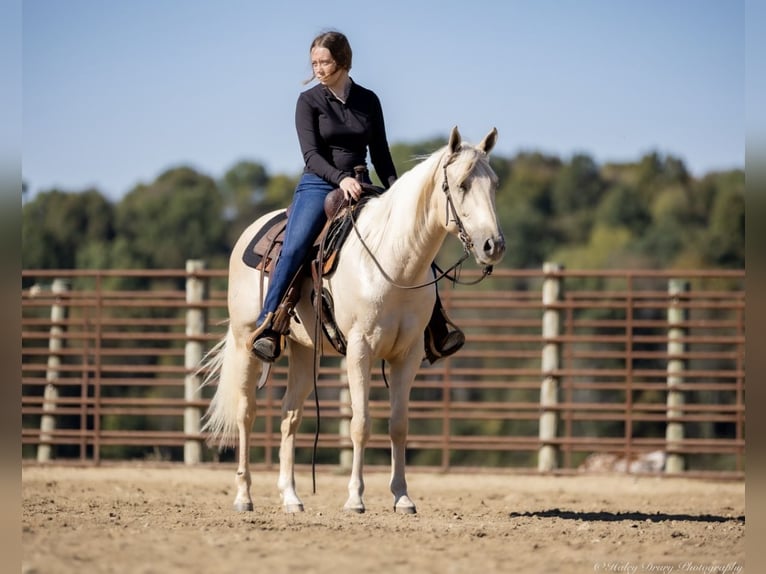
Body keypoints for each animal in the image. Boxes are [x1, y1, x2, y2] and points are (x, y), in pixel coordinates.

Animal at [201, 126, 505, 514]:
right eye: (463, 184)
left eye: (494, 184)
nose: (493, 245)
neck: (393, 262)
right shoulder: (361, 349)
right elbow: (360, 423)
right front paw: (355, 498)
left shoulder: (408, 356)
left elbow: (399, 424)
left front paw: (402, 496)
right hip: (245, 344)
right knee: (246, 413)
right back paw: (244, 497)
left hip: (305, 351)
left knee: (290, 415)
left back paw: (291, 497)